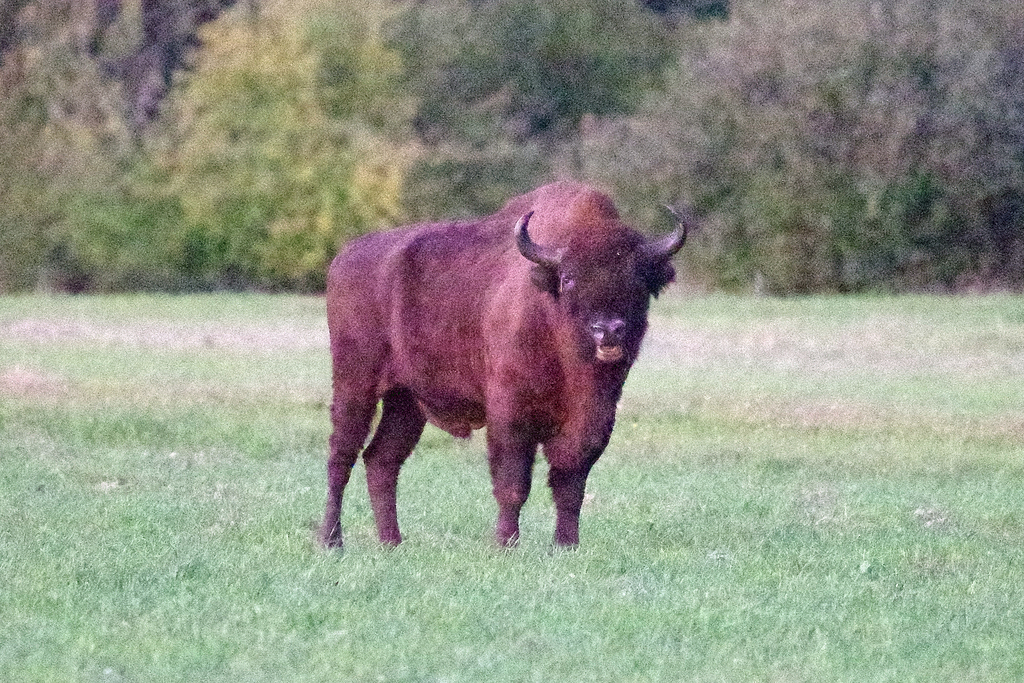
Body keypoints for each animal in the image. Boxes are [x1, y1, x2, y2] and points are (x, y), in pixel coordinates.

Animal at [319, 181, 692, 548]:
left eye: (639, 279)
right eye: (568, 278)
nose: (609, 330)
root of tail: (345, 256)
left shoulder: (593, 421)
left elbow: (570, 484)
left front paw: (566, 546)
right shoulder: (509, 415)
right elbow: (513, 483)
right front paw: (505, 545)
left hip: (406, 401)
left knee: (381, 459)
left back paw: (392, 543)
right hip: (355, 383)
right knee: (342, 456)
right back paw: (331, 541)